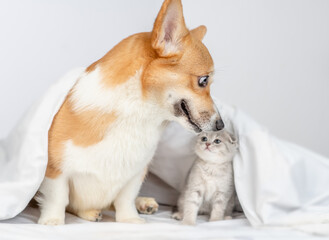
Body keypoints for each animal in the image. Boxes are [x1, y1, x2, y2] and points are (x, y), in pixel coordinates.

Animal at [37, 0, 224, 225]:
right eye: (204, 80)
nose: (221, 125)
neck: (138, 112)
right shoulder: (55, 170)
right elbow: (58, 197)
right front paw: (52, 221)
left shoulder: (135, 174)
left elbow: (125, 198)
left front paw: (130, 220)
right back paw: (90, 212)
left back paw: (142, 203)